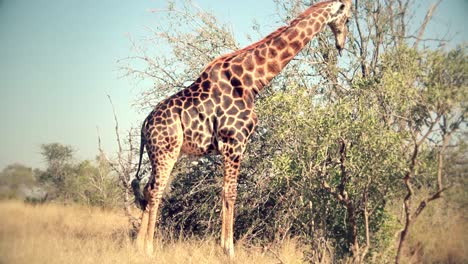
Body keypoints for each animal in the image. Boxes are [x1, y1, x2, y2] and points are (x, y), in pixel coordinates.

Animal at [132, 0, 352, 256]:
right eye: (347, 19)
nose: (341, 44)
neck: (251, 81)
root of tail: (144, 125)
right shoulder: (234, 142)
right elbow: (231, 193)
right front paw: (228, 249)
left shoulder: (232, 145)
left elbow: (226, 192)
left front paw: (225, 247)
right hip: (166, 151)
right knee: (156, 191)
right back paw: (149, 248)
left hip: (162, 154)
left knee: (148, 189)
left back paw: (138, 245)